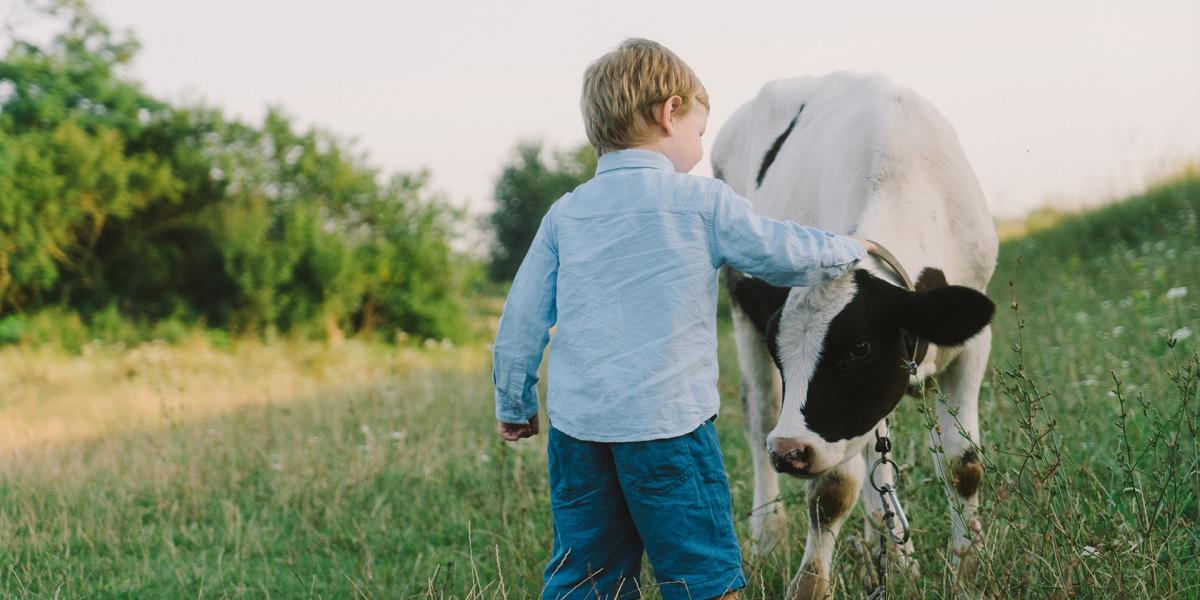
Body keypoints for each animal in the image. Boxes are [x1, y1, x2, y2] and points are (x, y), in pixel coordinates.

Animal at [705, 72, 998, 597]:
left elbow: (962, 463)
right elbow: (834, 489)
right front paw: (809, 585)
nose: (789, 452)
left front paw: (969, 566)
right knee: (761, 416)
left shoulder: (968, 345)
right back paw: (767, 537)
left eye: (860, 348)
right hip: (739, 306)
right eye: (781, 353)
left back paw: (894, 560)